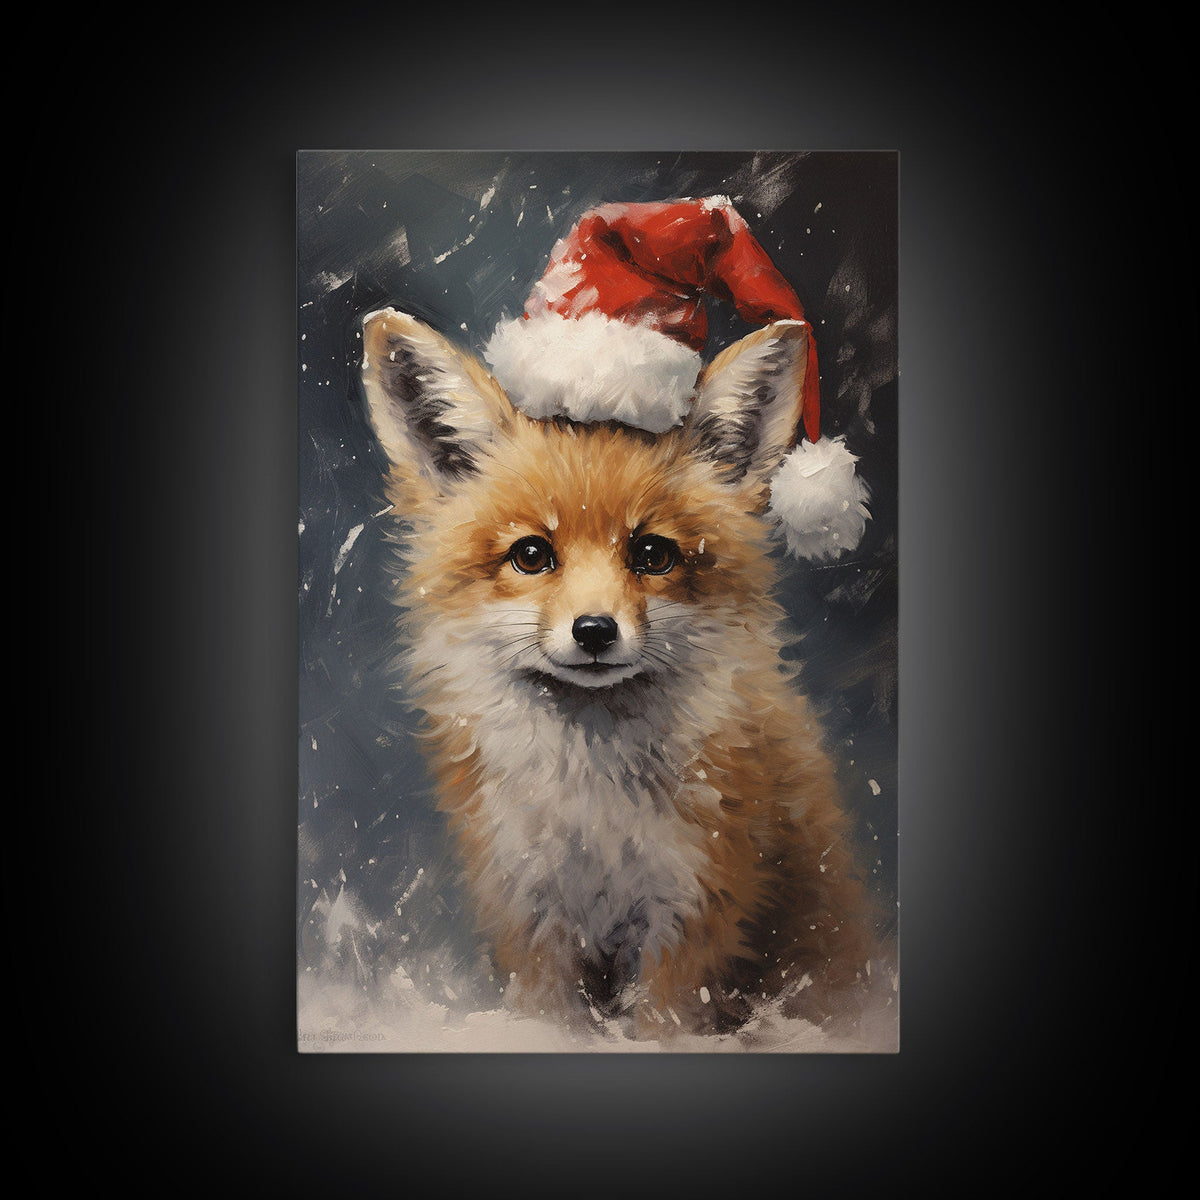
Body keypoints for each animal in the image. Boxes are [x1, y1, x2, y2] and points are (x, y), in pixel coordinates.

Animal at [359, 305, 884, 1041]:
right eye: (531, 555)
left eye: (652, 554)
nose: (595, 631)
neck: (593, 813)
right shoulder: (531, 917)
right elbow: (549, 1022)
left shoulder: (694, 911)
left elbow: (662, 1029)